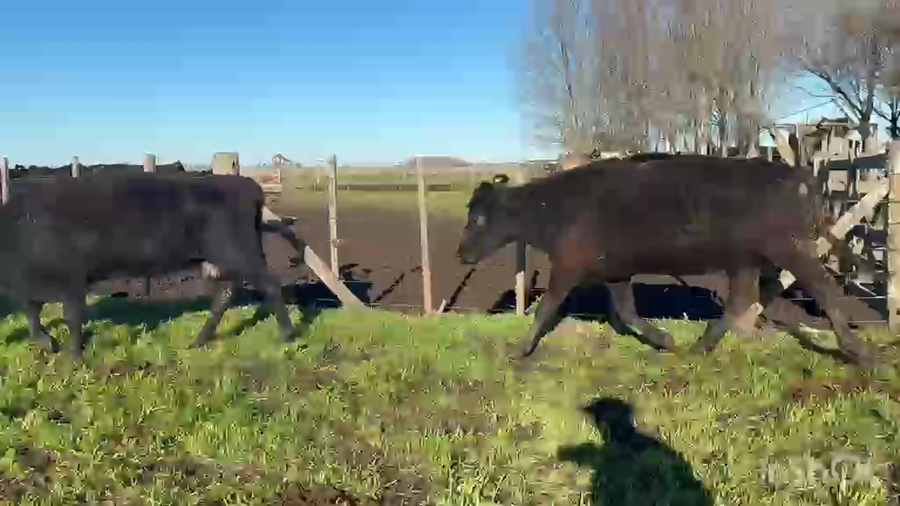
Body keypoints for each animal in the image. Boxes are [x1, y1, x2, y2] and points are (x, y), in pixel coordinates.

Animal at [0, 171, 300, 357]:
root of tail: (245, 184)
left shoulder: (73, 278)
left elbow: (72, 317)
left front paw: (74, 357)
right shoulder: (31, 284)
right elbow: (32, 312)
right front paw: (47, 342)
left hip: (239, 253)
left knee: (269, 284)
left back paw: (287, 334)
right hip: (225, 258)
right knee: (225, 294)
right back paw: (199, 340)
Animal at [456, 154, 875, 367]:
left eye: (478, 218)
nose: (462, 253)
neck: (555, 207)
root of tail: (795, 172)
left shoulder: (568, 266)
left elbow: (545, 309)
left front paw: (520, 350)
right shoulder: (615, 272)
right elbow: (627, 313)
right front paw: (666, 339)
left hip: (788, 249)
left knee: (824, 288)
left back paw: (859, 352)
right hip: (744, 259)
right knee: (741, 299)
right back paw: (699, 347)